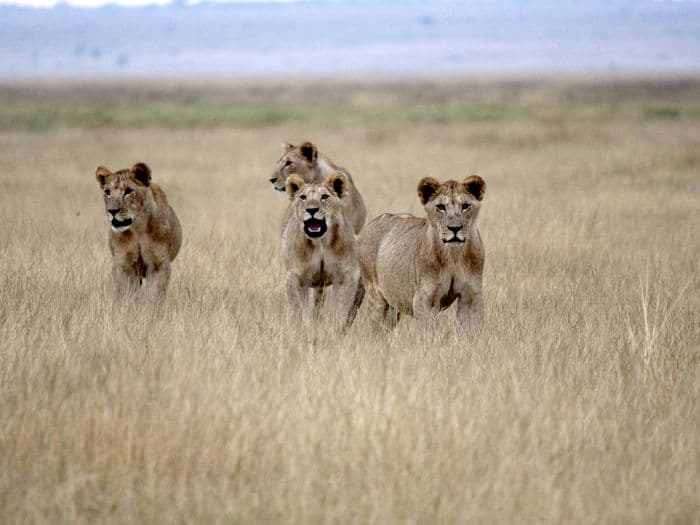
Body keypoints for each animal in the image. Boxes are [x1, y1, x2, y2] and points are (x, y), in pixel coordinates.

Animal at [95, 162, 182, 302]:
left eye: (128, 191)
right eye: (107, 192)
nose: (112, 211)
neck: (137, 228)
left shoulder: (159, 264)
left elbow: (154, 295)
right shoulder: (124, 264)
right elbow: (128, 293)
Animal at [282, 171, 364, 330]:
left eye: (324, 196)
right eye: (303, 197)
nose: (311, 209)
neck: (320, 243)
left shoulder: (346, 276)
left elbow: (341, 309)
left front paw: (335, 329)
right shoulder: (295, 277)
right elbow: (299, 311)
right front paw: (303, 329)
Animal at [358, 175, 486, 331]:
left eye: (465, 206)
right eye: (441, 207)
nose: (454, 228)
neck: (453, 255)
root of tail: (369, 225)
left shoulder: (471, 296)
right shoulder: (425, 299)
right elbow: (430, 331)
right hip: (376, 297)